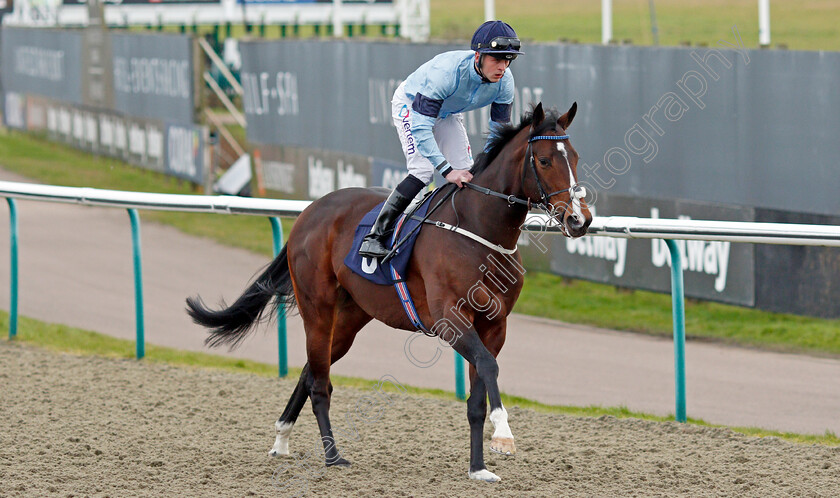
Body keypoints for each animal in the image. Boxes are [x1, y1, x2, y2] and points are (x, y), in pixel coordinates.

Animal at [185, 102, 592, 482]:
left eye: (574, 157)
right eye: (544, 160)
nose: (579, 219)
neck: (479, 230)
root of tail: (309, 212)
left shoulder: (494, 325)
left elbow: (478, 392)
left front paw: (478, 468)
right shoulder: (451, 319)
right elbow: (489, 368)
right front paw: (504, 435)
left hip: (350, 318)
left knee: (310, 368)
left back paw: (282, 440)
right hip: (318, 307)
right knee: (319, 381)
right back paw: (333, 456)